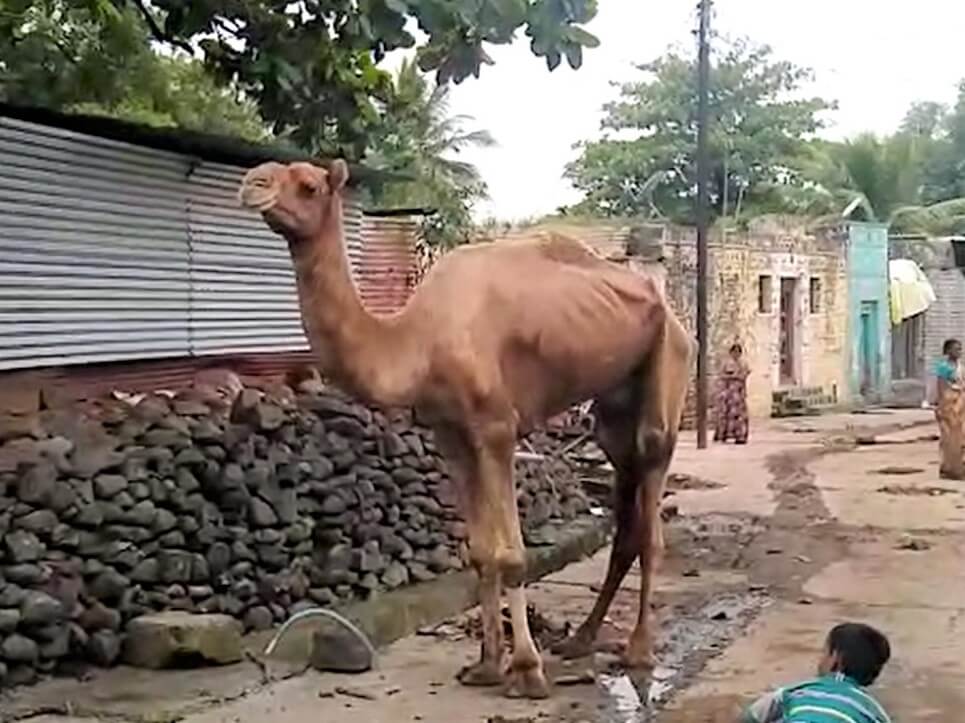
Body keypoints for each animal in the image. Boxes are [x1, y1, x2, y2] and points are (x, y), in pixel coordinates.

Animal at [239, 160, 692, 700]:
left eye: (309, 185)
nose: (251, 183)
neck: (418, 341)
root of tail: (667, 307)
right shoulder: (450, 434)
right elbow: (479, 553)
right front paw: (486, 665)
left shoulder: (496, 427)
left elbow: (513, 555)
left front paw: (527, 672)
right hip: (614, 410)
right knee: (625, 517)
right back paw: (580, 639)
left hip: (668, 366)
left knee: (651, 508)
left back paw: (639, 651)